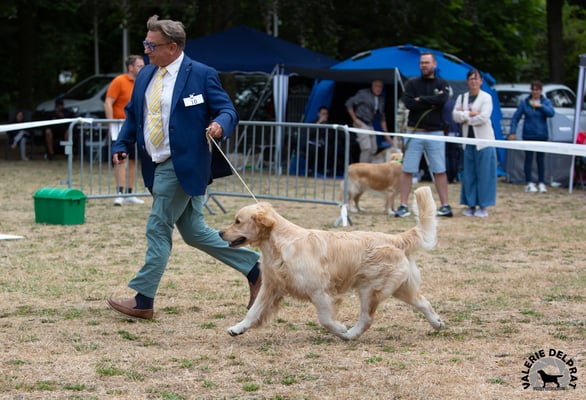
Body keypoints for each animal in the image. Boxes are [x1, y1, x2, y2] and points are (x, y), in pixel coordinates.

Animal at [219, 186, 444, 340]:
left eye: (237, 221)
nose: (220, 232)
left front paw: (340, 329)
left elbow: (325, 319)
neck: (280, 244)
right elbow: (253, 312)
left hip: (369, 288)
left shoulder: (319, 291)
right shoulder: (271, 287)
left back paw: (350, 334)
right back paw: (438, 324)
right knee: (423, 302)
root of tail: (396, 238)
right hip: (400, 287)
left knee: (367, 319)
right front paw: (237, 328)